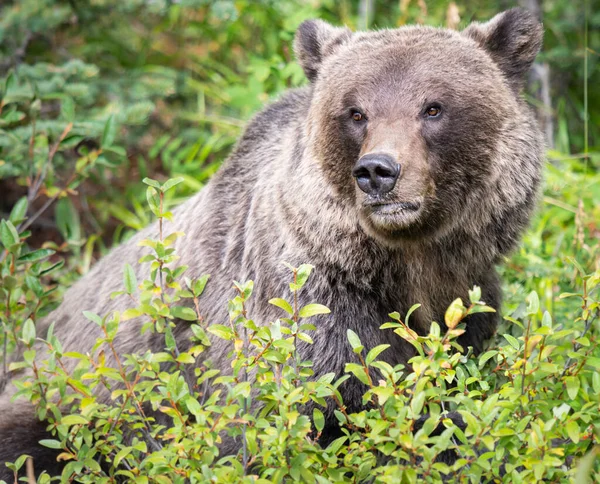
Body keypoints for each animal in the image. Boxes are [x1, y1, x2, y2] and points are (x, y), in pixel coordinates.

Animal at [0, 8, 544, 480]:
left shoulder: (469, 304)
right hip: (63, 396)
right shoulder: (309, 315)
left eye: (433, 107)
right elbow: (279, 424)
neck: (408, 263)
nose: (378, 172)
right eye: (356, 112)